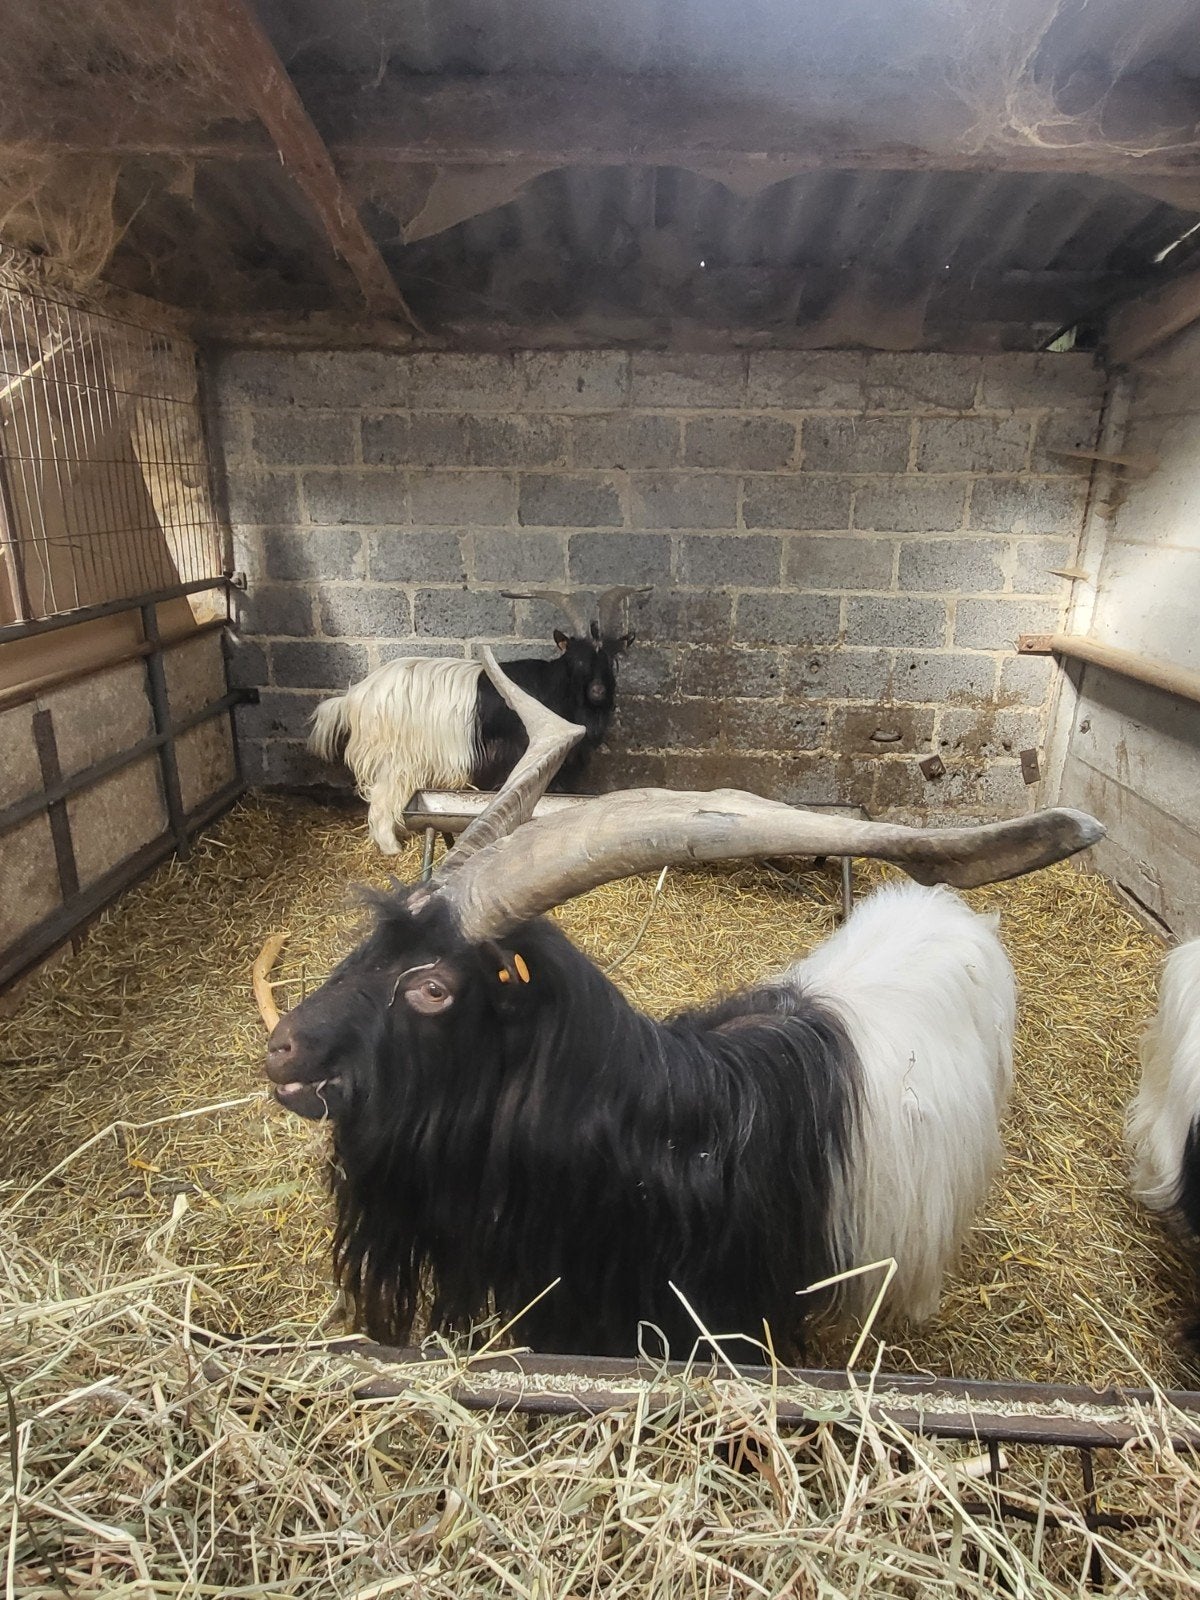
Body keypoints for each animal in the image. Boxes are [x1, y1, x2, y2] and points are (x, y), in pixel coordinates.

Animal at [307, 587, 643, 854]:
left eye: (612, 659)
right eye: (577, 659)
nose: (599, 692)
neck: (556, 687)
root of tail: (356, 696)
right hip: (396, 758)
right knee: (381, 799)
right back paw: (392, 849)